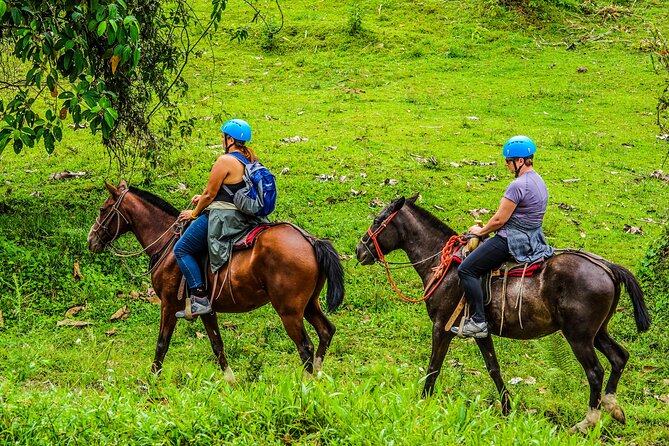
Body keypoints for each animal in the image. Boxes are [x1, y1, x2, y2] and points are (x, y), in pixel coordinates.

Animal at [88, 179, 344, 382]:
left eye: (102, 209)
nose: (91, 240)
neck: (167, 244)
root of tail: (310, 240)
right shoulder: (206, 309)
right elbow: (217, 344)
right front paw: (230, 382)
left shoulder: (168, 304)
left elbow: (162, 344)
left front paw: (150, 381)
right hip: (309, 305)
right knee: (326, 331)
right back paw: (318, 376)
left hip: (288, 311)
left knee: (305, 347)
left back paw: (305, 386)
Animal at [358, 195, 648, 432]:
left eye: (377, 220)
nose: (359, 251)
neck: (444, 265)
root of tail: (607, 267)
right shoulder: (480, 330)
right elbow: (493, 368)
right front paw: (508, 409)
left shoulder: (442, 326)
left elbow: (433, 367)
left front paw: (422, 402)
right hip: (597, 332)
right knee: (619, 357)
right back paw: (613, 407)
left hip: (578, 336)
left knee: (595, 372)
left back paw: (587, 422)